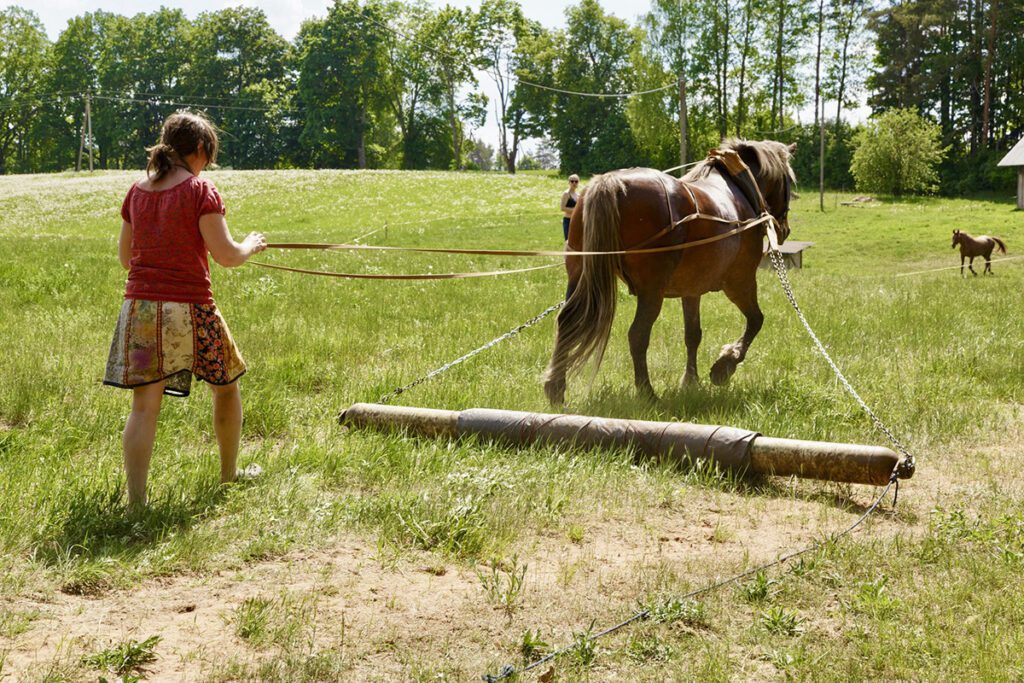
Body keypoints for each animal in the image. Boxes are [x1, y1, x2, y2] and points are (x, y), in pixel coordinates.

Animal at [540, 140, 794, 405]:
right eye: (790, 180)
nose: (784, 230)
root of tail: (610, 182)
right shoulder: (740, 282)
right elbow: (756, 320)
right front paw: (725, 365)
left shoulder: (691, 290)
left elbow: (693, 334)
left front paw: (691, 382)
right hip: (652, 291)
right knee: (638, 334)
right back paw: (647, 393)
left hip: (579, 277)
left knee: (567, 323)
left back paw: (555, 387)